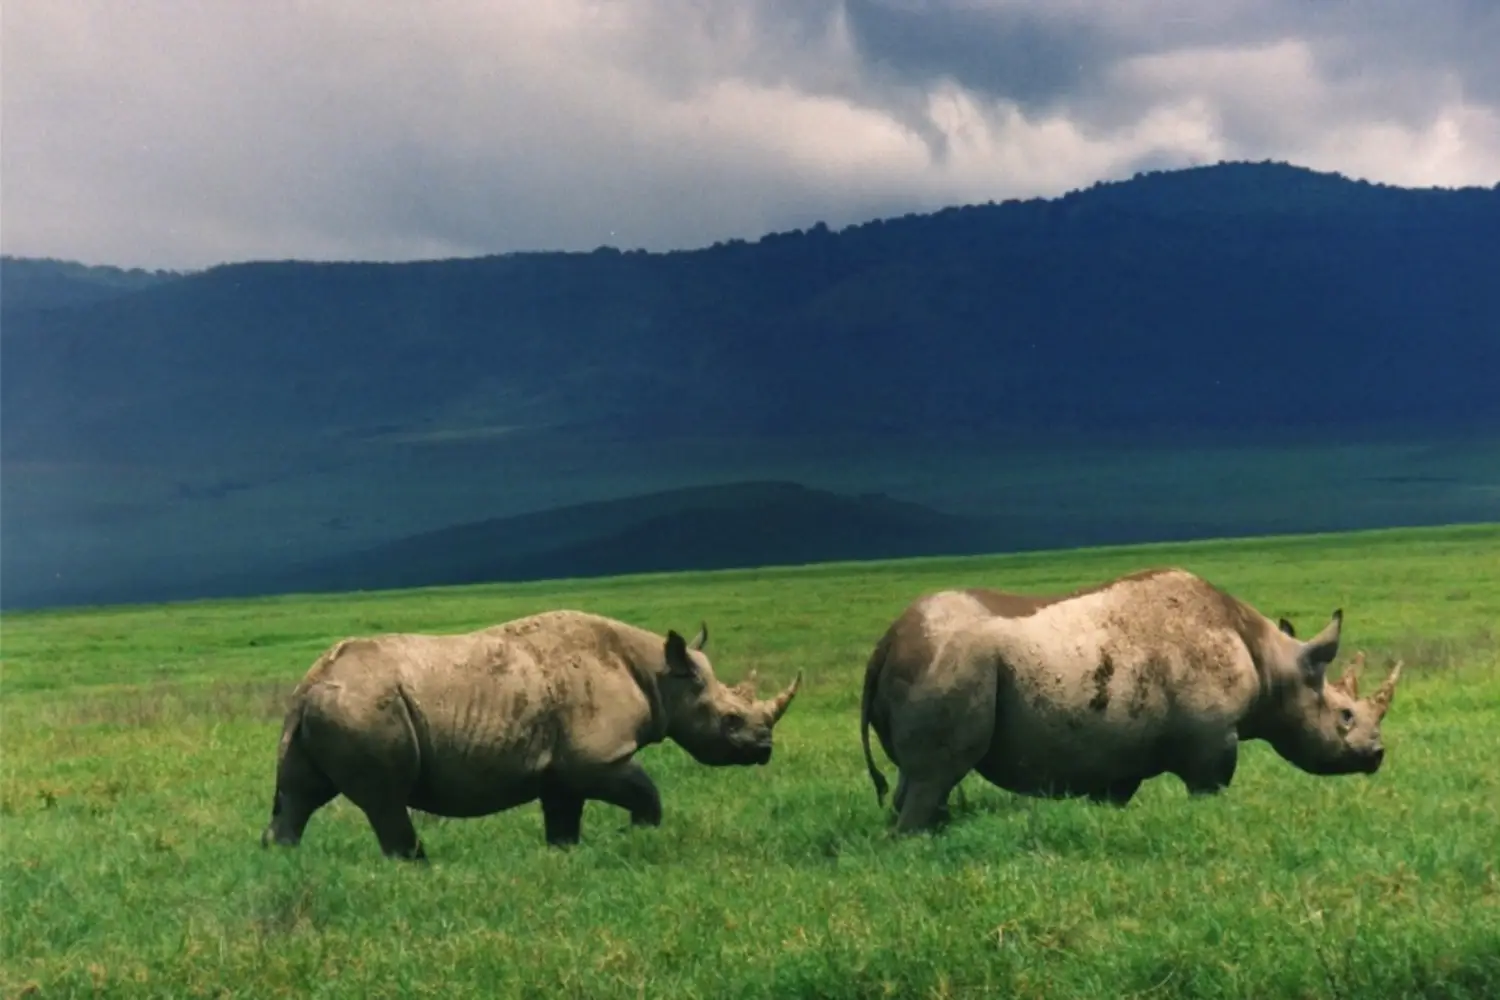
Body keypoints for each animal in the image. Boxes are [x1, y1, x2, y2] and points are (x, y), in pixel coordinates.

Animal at [260, 610, 801, 859]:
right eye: (730, 720)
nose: (764, 749)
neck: (661, 675)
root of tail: (308, 685)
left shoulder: (561, 769)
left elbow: (563, 821)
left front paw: (566, 856)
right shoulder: (597, 757)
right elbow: (647, 793)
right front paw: (637, 837)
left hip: (328, 709)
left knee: (299, 796)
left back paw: (285, 863)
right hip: (364, 707)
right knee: (386, 800)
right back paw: (419, 869)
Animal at [858, 567, 1404, 833]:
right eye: (1345, 716)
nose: (1377, 755)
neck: (1276, 664)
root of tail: (886, 642)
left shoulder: (1115, 752)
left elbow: (1112, 797)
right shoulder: (1210, 739)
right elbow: (1210, 787)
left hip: (937, 659)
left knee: (918, 779)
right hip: (951, 661)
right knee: (934, 777)